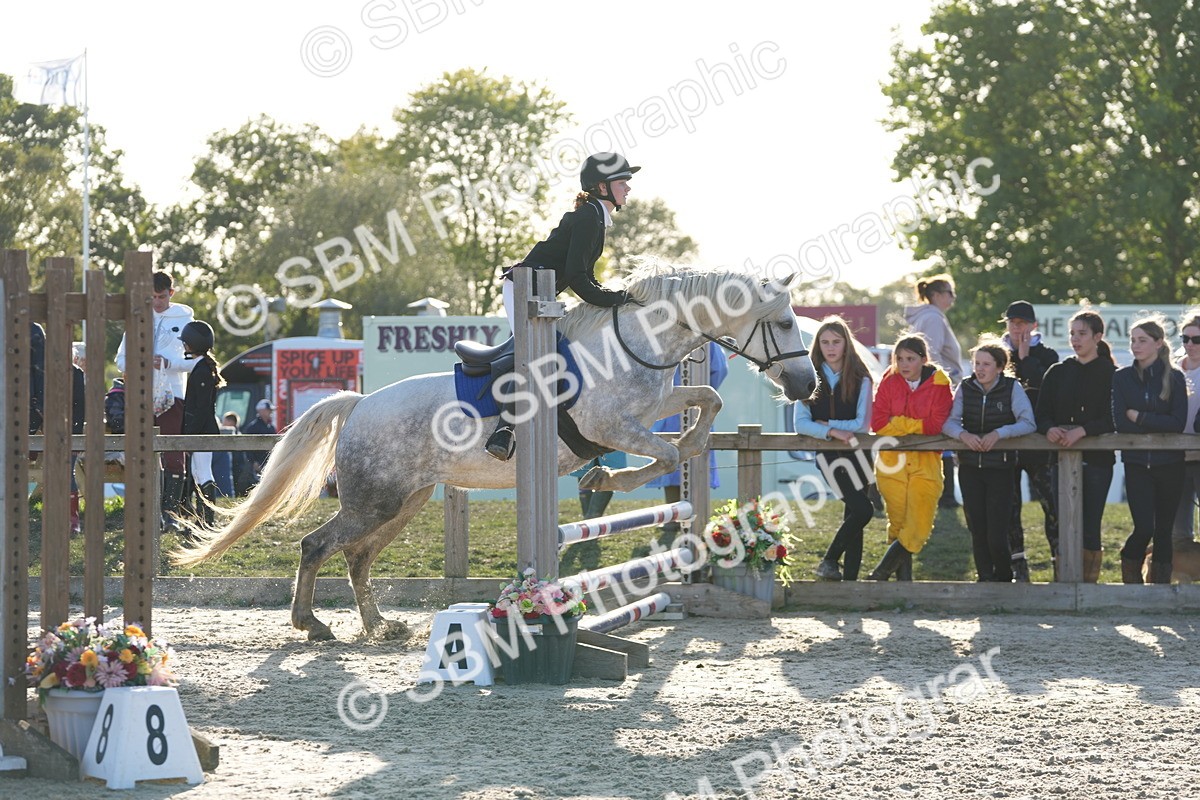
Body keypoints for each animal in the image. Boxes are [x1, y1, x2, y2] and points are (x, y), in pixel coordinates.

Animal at [173, 265, 817, 641]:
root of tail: (358, 405)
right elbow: (658, 455)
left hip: (405, 501)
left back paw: (380, 626)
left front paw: (688, 448)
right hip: (374, 502)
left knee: (356, 556)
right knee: (318, 545)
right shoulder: (611, 427)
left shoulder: (658, 402)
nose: (807, 386)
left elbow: (705, 403)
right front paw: (606, 482)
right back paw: (312, 624)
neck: (636, 342)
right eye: (785, 322)